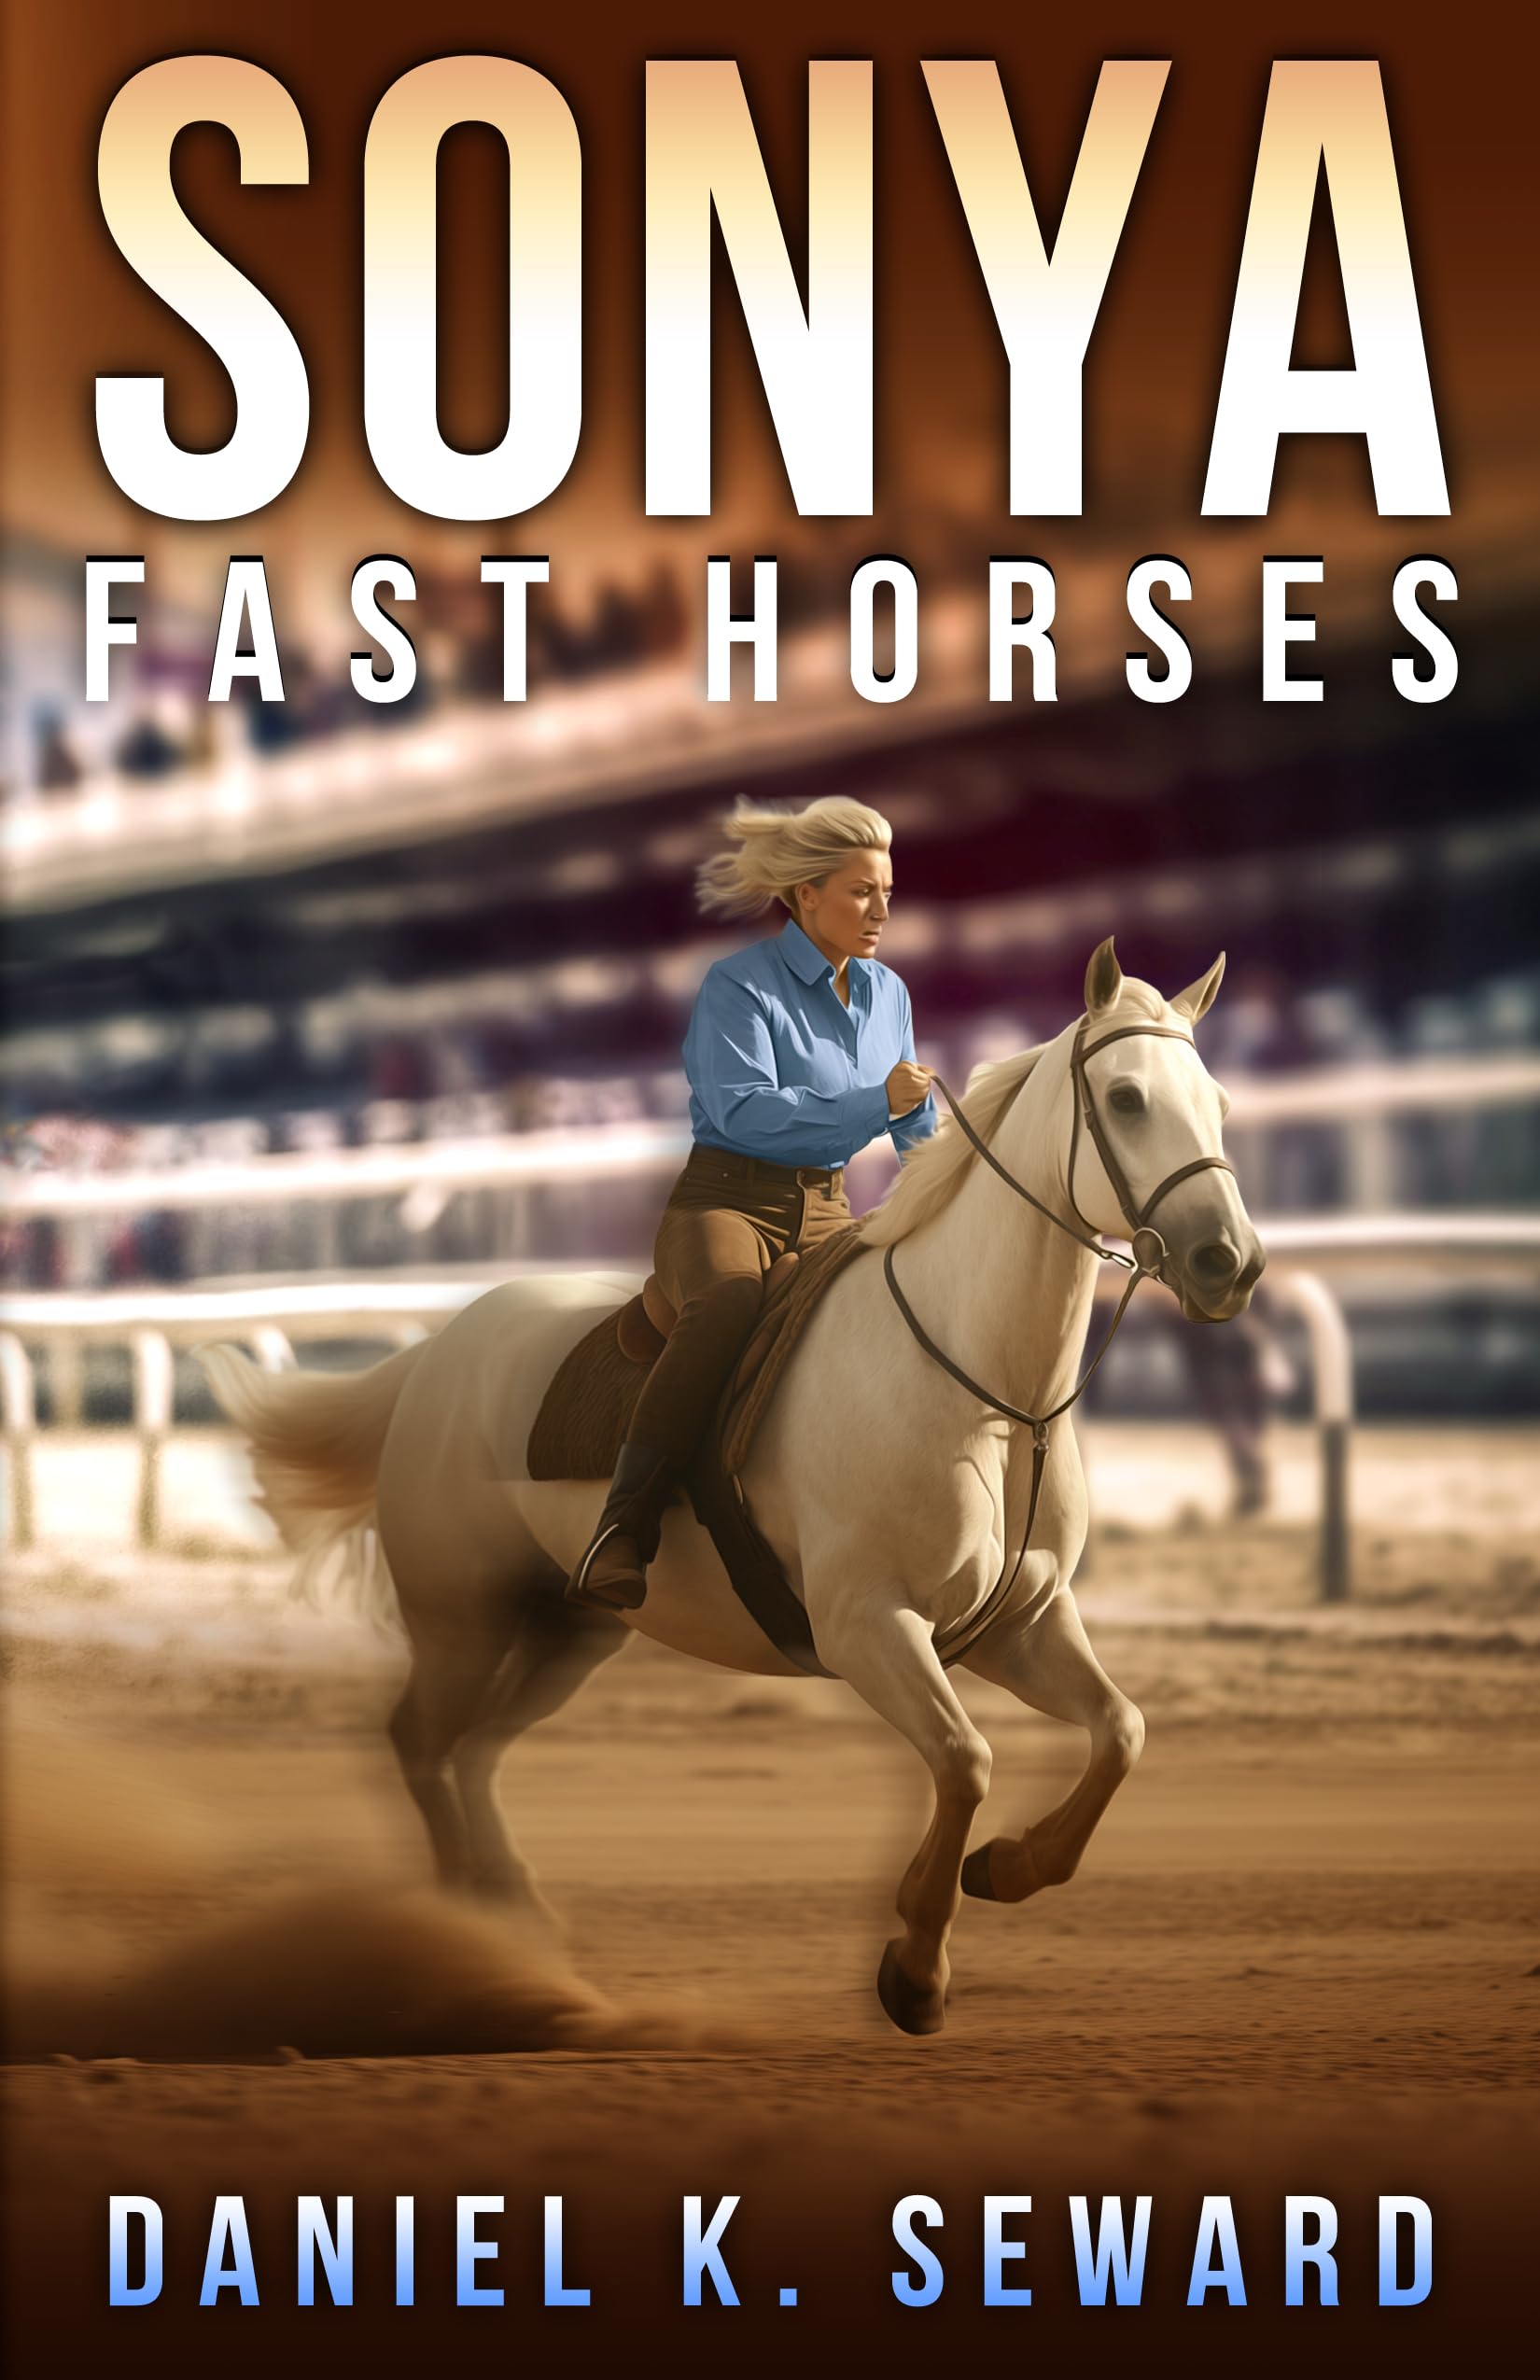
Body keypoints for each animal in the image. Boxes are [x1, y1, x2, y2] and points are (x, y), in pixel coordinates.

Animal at [203, 938, 1264, 2034]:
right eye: (1128, 1098)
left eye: (1220, 1101)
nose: (1229, 1264)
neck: (987, 1393)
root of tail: (433, 1357)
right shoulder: (868, 1625)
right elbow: (966, 1761)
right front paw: (915, 1967)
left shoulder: (1023, 1623)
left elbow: (1120, 1733)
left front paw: (1005, 1869)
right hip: (460, 1617)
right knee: (421, 1742)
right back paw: (470, 1945)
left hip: (565, 1630)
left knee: (475, 1750)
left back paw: (514, 1915)